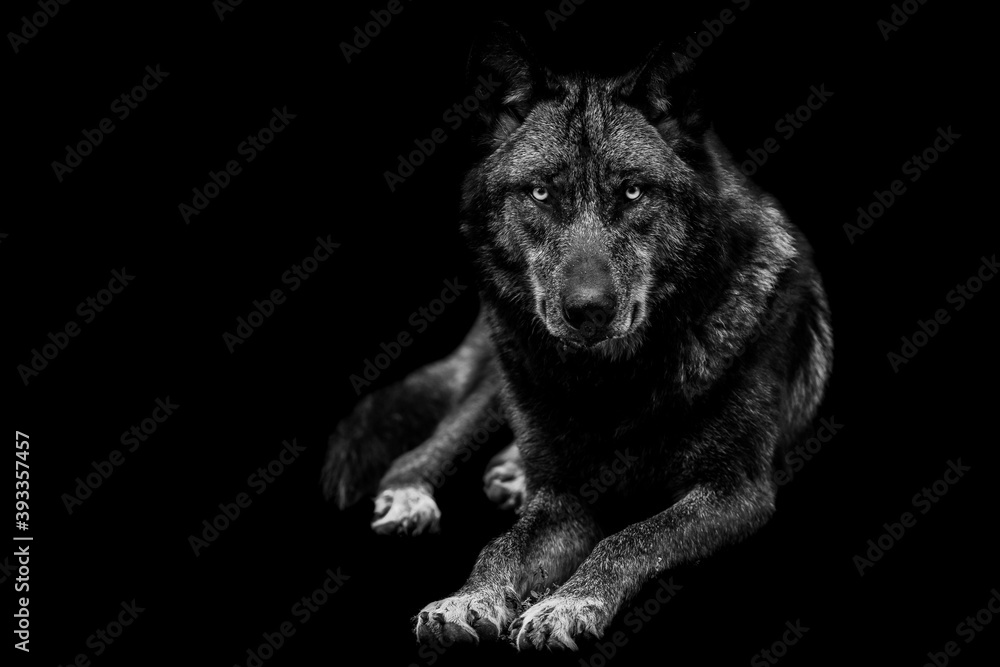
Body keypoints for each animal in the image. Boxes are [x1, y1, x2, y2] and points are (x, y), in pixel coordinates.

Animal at [322, 24, 833, 650]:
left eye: (633, 192)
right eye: (541, 194)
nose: (588, 311)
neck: (612, 383)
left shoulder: (737, 490)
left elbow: (631, 536)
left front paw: (565, 603)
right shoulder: (566, 498)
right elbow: (502, 545)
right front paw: (466, 599)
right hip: (502, 376)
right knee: (424, 448)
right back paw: (416, 492)